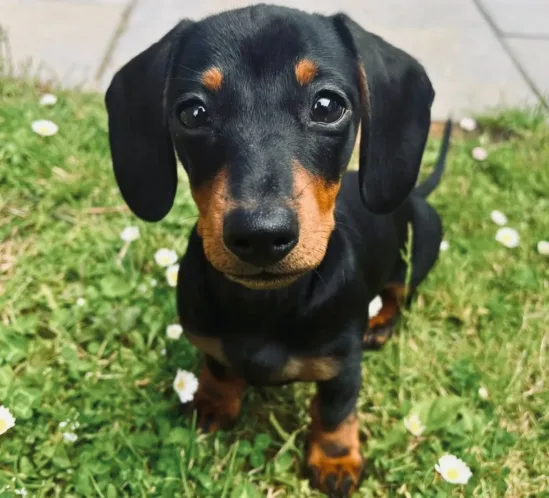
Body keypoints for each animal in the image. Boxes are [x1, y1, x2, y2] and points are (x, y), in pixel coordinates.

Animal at [105, 4, 452, 498]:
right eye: (193, 112)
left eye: (327, 105)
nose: (261, 237)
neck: (266, 303)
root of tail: (417, 194)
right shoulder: (210, 341)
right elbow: (220, 368)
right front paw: (213, 402)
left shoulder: (343, 367)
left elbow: (334, 411)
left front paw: (335, 459)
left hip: (417, 254)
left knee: (399, 294)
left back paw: (380, 323)